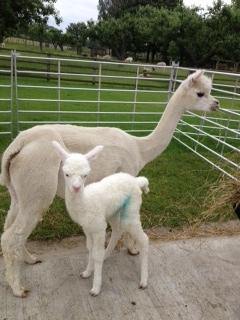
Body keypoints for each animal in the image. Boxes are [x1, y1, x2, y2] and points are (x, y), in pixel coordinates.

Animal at [52, 141, 149, 296]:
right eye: (66, 173)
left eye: (85, 175)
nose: (76, 187)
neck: (86, 203)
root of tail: (137, 181)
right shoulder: (87, 228)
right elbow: (90, 249)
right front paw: (86, 272)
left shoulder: (98, 228)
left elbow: (96, 254)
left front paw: (95, 288)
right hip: (114, 211)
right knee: (117, 229)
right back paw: (106, 255)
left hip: (132, 208)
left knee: (143, 238)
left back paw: (143, 282)